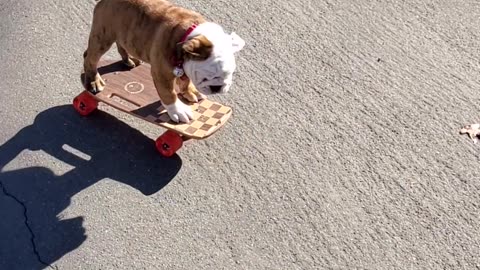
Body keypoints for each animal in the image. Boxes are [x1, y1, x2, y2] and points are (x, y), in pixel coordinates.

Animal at [81, 0, 244, 123]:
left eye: (230, 74)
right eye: (207, 75)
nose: (218, 88)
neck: (190, 33)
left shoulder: (184, 67)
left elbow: (185, 81)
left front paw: (190, 91)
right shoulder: (161, 74)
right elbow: (169, 94)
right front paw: (178, 111)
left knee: (121, 44)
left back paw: (129, 60)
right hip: (103, 37)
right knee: (90, 58)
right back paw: (94, 81)